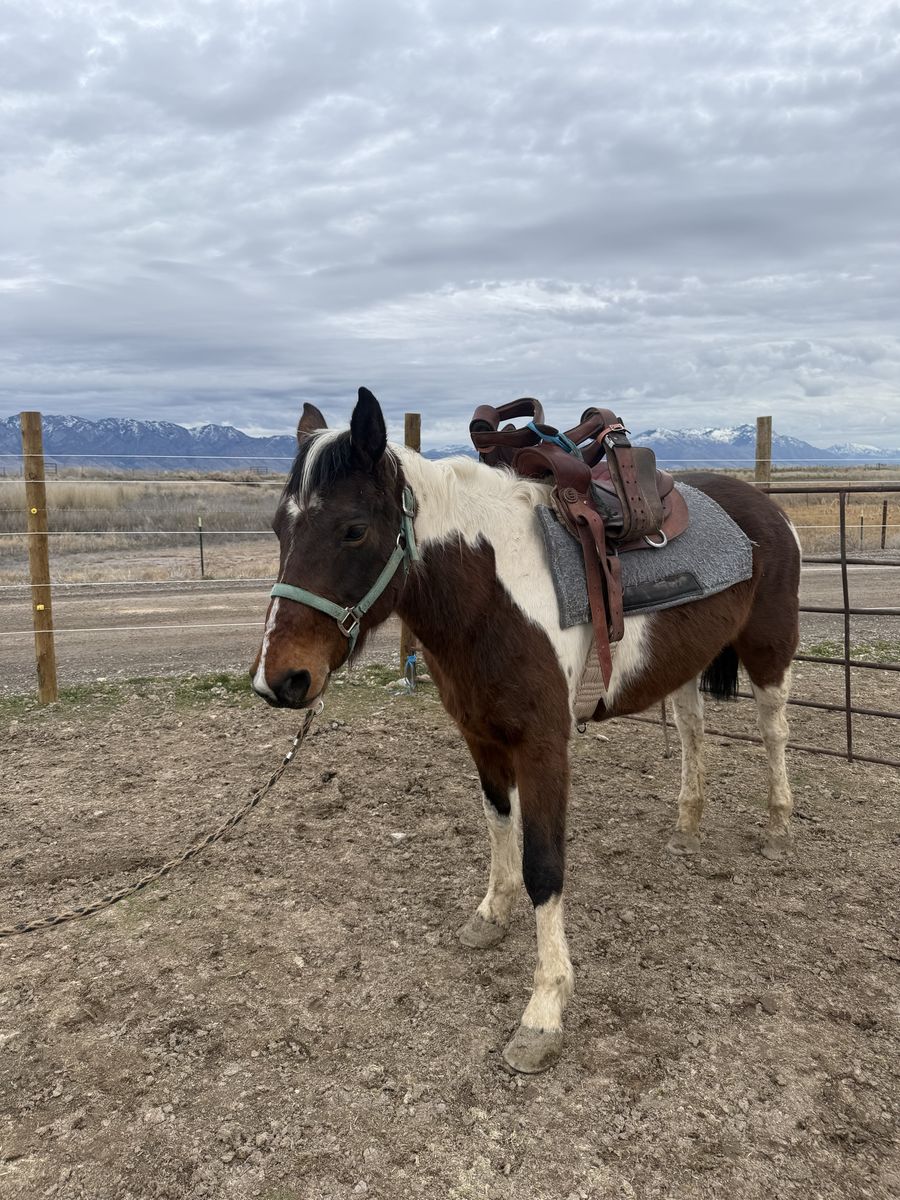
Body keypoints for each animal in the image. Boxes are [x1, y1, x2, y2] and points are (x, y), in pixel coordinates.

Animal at [250, 387, 801, 1074]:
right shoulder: (481, 736)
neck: (490, 596)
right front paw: (492, 914)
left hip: (769, 651)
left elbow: (544, 865)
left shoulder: (544, 747)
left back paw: (778, 827)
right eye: (280, 528)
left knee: (775, 730)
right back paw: (687, 826)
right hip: (684, 665)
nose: (280, 680)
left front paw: (543, 1013)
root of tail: (767, 510)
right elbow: (497, 824)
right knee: (693, 732)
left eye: (353, 529)